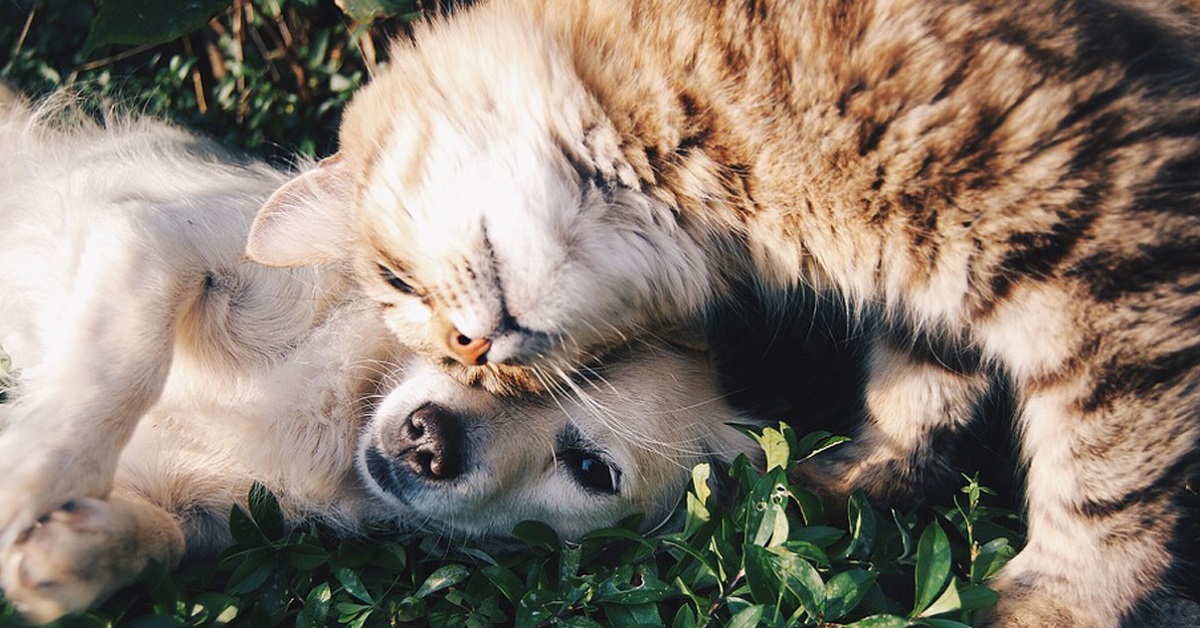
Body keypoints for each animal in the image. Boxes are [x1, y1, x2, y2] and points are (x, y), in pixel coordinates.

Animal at [248, 1, 1200, 624]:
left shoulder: (1109, 239)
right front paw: (851, 480)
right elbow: (917, 391)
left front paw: (1060, 603)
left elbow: (1104, 481)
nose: (471, 350)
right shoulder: (939, 280)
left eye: (396, 281)